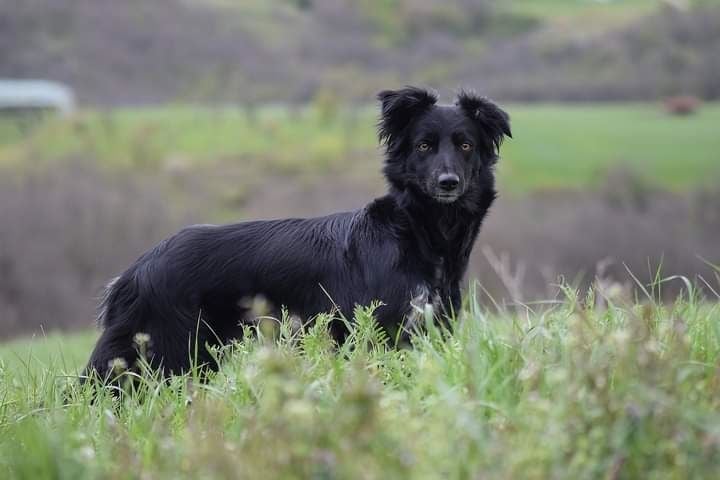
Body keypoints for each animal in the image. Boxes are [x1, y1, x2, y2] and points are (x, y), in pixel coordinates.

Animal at [84, 86, 512, 378]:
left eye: (466, 145)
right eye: (424, 146)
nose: (448, 183)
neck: (416, 232)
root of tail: (135, 270)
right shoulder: (382, 334)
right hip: (159, 352)